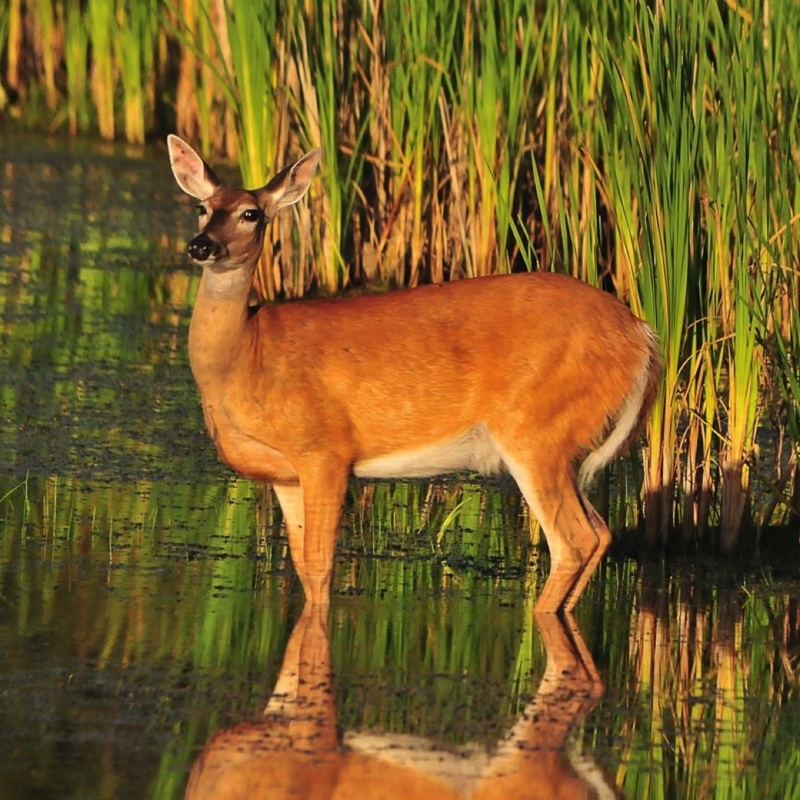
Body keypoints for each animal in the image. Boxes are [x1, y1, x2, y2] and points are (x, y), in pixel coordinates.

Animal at [167, 134, 661, 614]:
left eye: (250, 214)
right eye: (202, 207)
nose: (201, 245)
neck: (245, 357)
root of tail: (642, 336)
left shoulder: (324, 449)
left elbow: (322, 568)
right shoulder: (284, 474)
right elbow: (304, 568)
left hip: (537, 428)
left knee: (575, 539)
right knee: (601, 533)